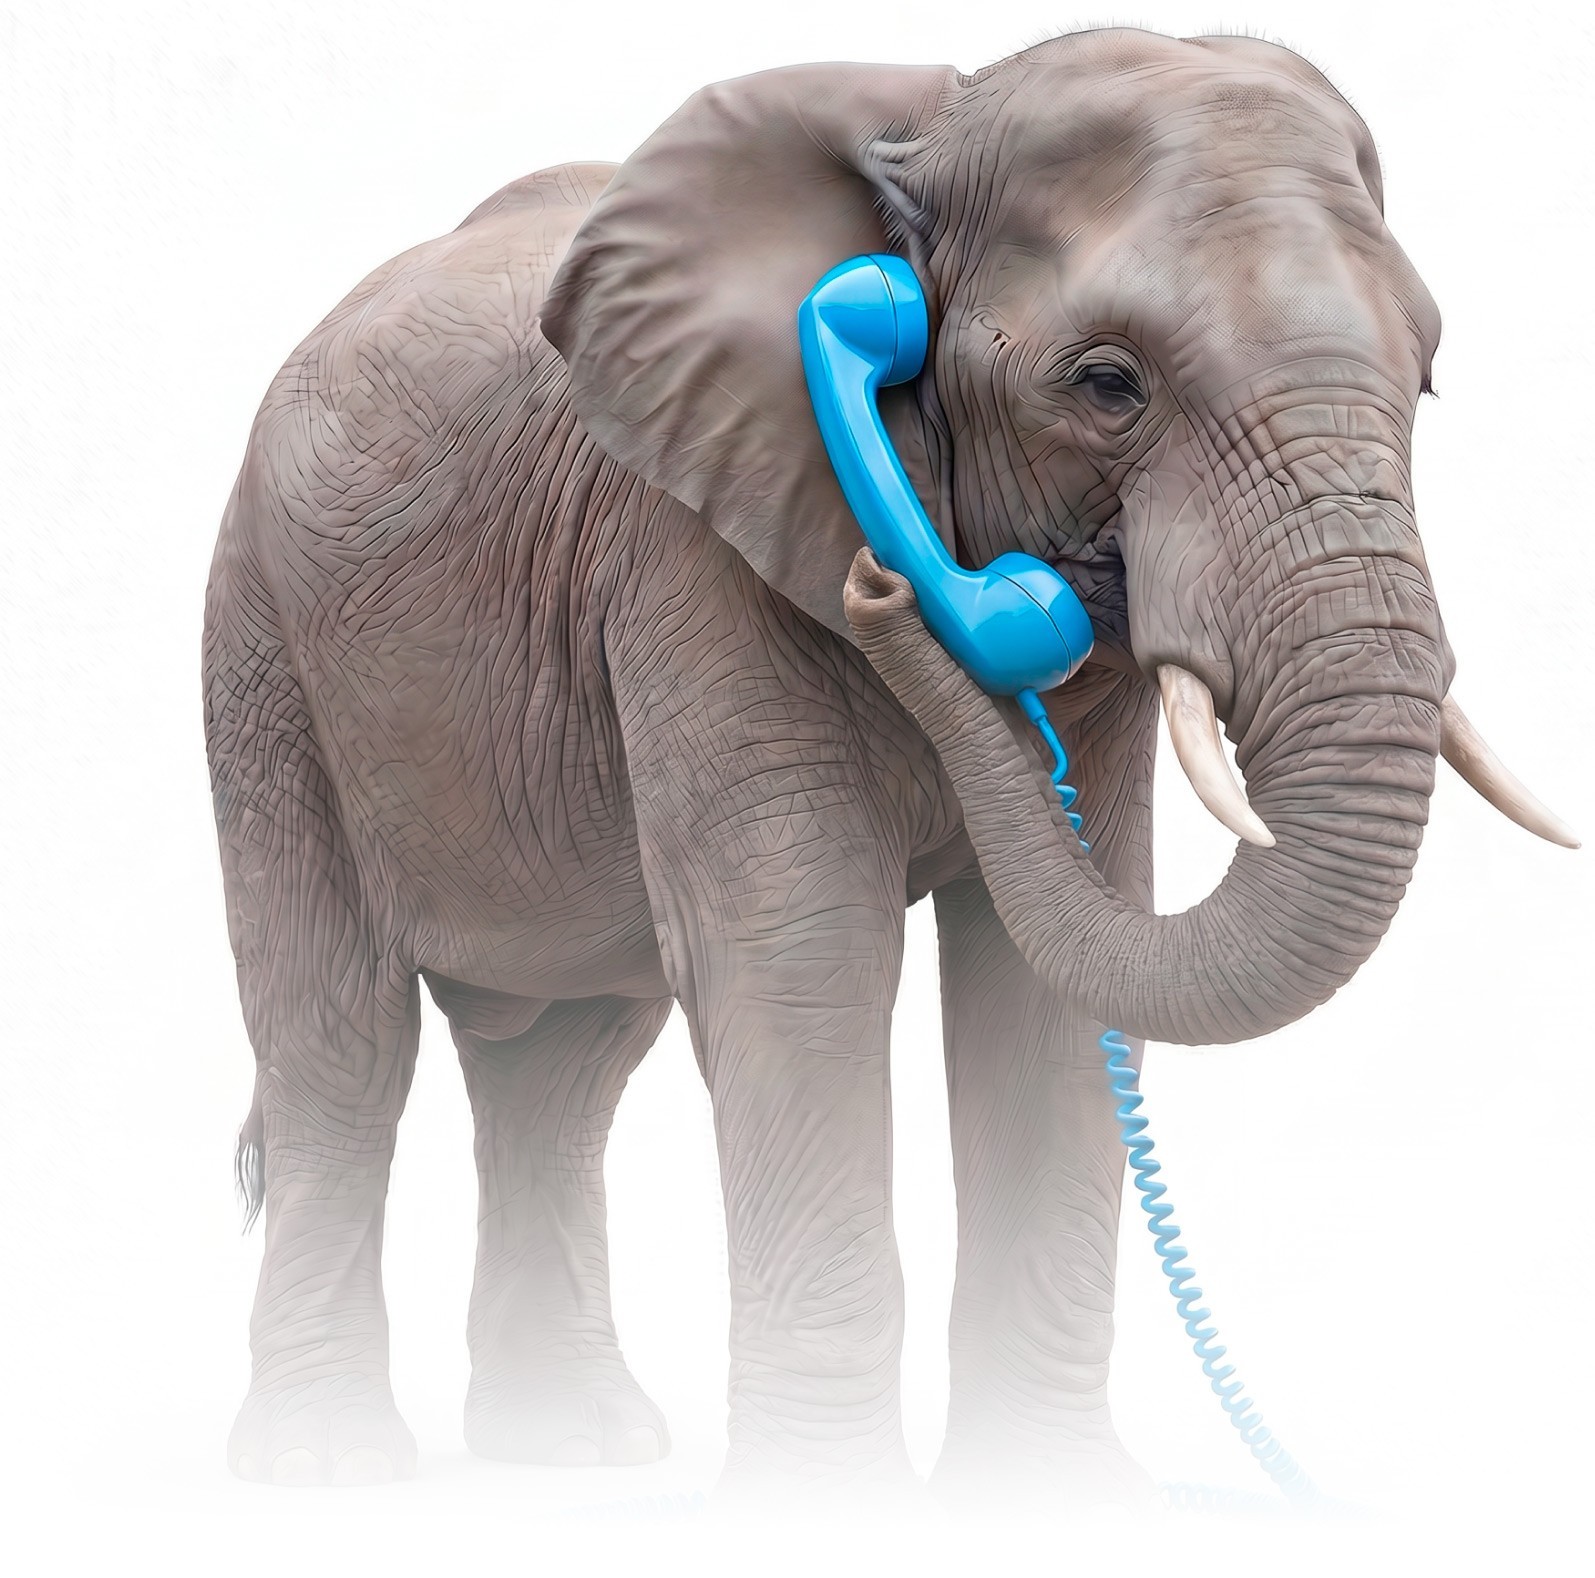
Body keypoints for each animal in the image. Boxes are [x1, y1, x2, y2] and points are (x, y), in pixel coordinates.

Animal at [202, 27, 1575, 1497]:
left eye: (1422, 375)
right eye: (1106, 383)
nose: (884, 583)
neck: (925, 127)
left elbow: (1046, 981)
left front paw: (1045, 1501)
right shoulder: (691, 550)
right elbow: (801, 957)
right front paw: (832, 1509)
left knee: (566, 1060)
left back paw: (575, 1446)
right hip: (264, 652)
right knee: (340, 1035)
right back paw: (330, 1462)